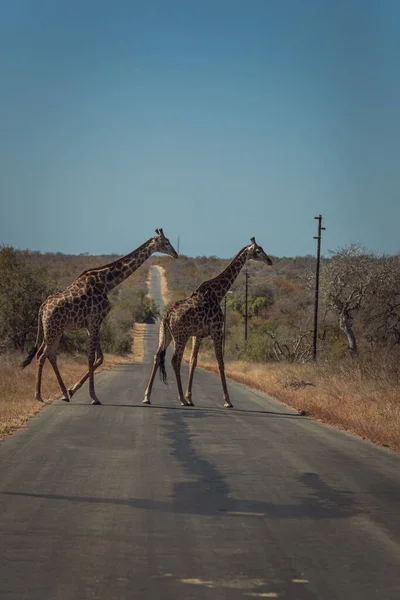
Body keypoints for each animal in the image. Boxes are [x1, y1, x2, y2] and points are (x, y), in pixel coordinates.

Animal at [21, 227, 178, 406]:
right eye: (166, 242)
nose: (176, 254)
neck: (107, 282)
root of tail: (42, 307)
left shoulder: (92, 324)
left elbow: (100, 358)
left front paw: (73, 390)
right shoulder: (95, 320)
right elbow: (91, 358)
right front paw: (93, 396)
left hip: (54, 330)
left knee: (48, 354)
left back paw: (64, 393)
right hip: (53, 330)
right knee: (43, 355)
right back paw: (39, 395)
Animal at [143, 238, 272, 408]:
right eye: (258, 250)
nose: (269, 261)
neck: (218, 293)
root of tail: (167, 316)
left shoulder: (197, 335)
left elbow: (193, 361)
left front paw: (190, 397)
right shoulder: (217, 330)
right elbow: (220, 362)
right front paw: (227, 400)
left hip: (165, 334)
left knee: (157, 356)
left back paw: (147, 396)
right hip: (180, 336)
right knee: (175, 360)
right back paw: (181, 399)